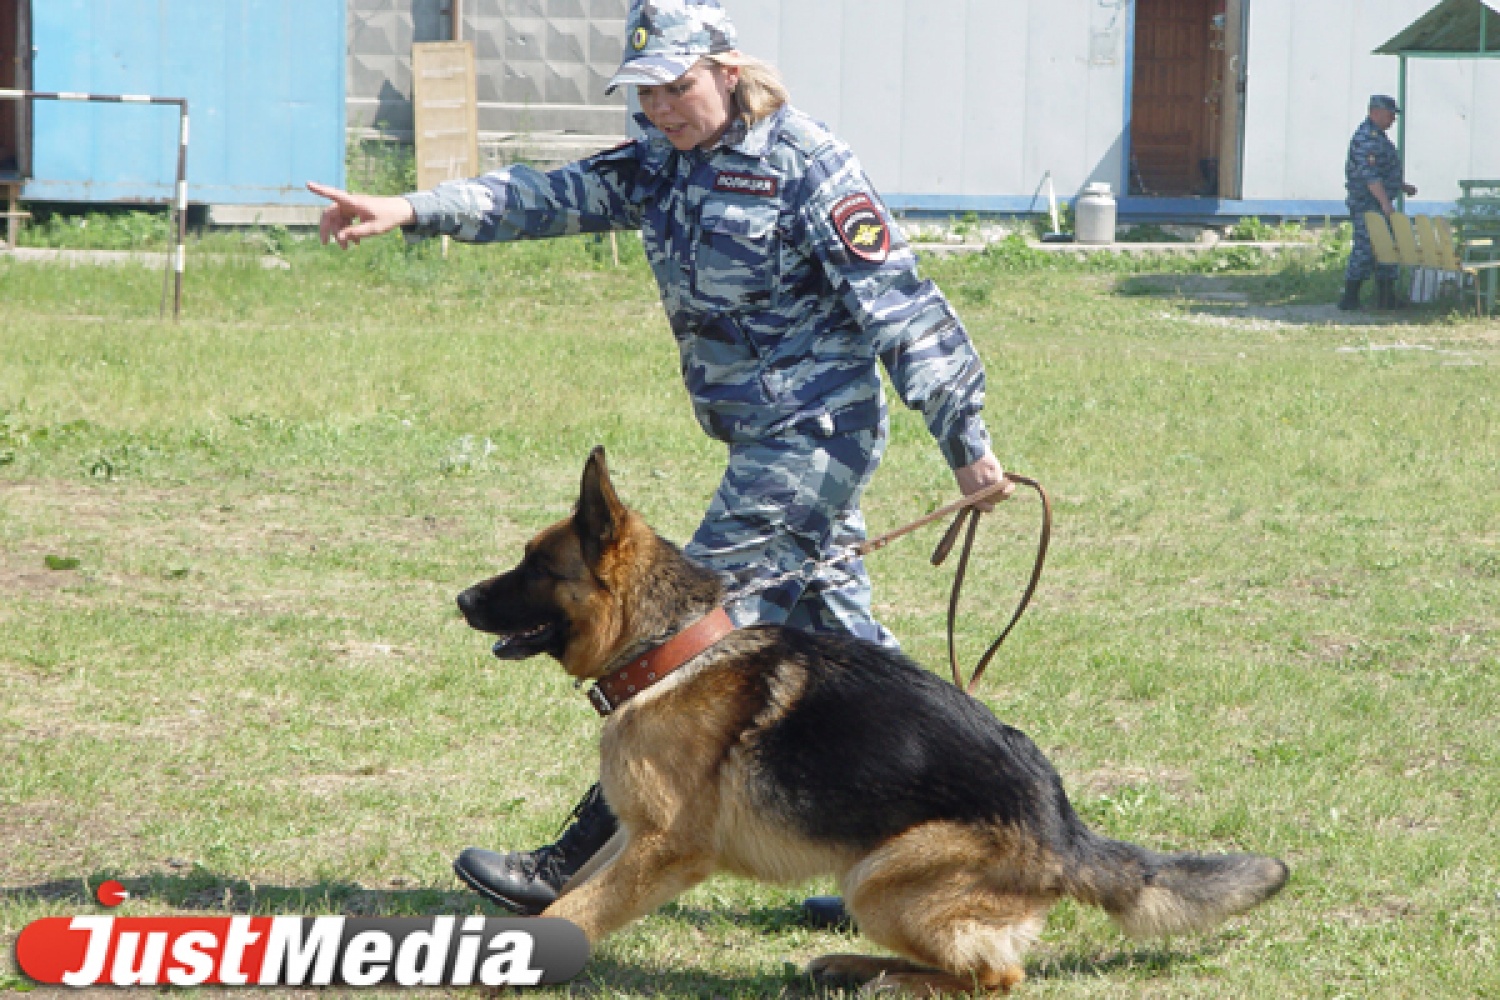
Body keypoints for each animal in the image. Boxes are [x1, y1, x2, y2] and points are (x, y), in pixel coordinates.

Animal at [456, 449, 1290, 995]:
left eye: (535, 566)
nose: (460, 599)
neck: (667, 653)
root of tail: (1068, 832)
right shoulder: (634, 838)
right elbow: (572, 891)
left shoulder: (665, 848)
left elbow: (574, 909)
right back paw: (854, 968)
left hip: (881, 880)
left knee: (997, 975)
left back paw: (889, 980)